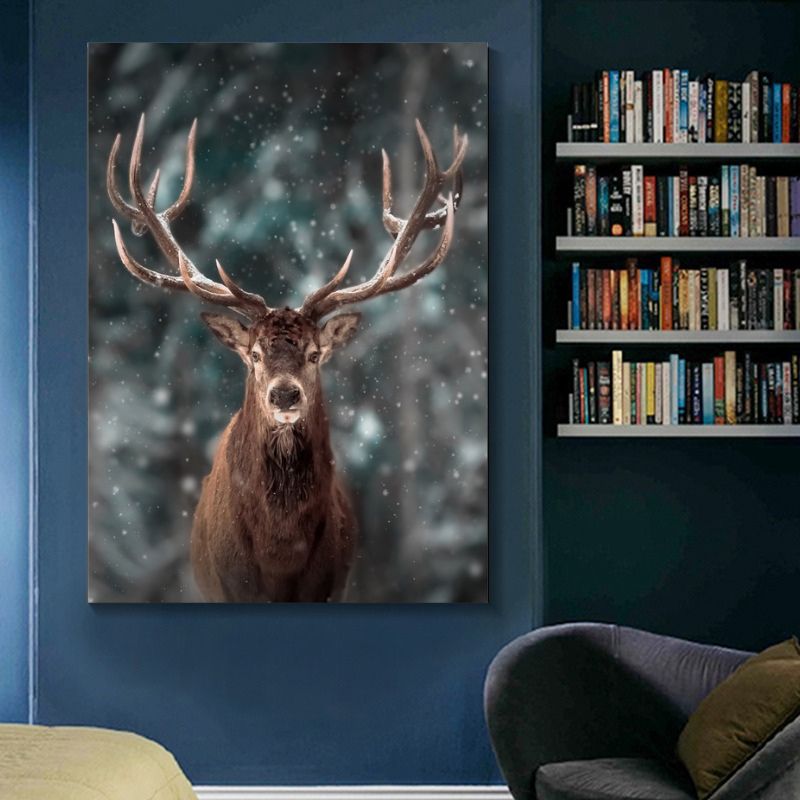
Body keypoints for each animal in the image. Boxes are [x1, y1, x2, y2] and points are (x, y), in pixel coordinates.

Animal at [106, 113, 468, 602]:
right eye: (255, 354)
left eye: (315, 354)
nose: (284, 396)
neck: (280, 556)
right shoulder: (229, 588)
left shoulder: (331, 586)